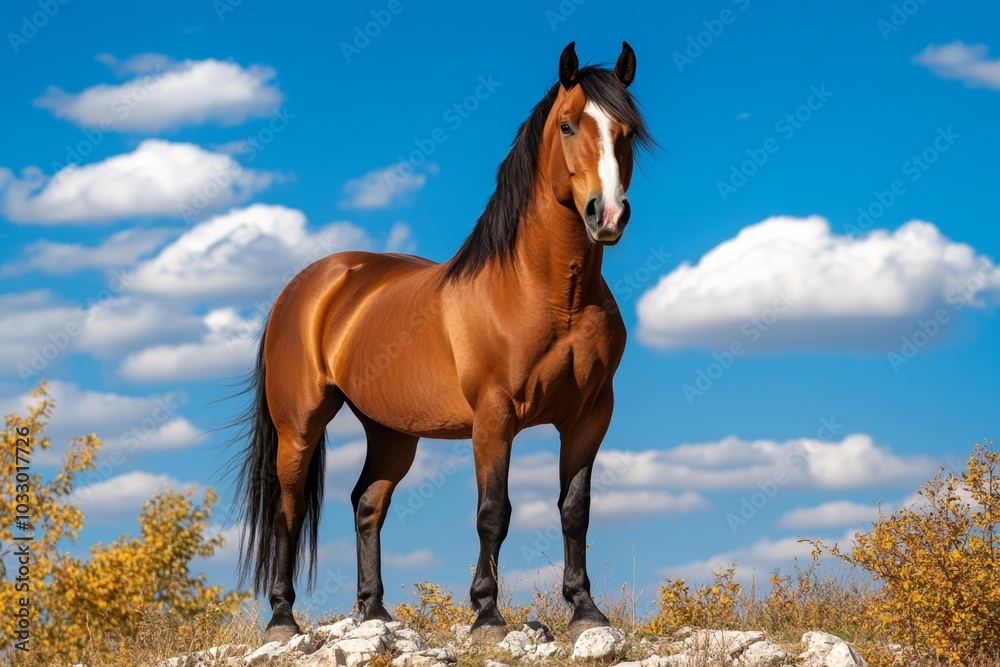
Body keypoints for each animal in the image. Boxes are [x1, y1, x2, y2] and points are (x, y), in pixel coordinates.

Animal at [233, 41, 653, 645]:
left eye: (628, 131)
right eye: (569, 125)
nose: (608, 214)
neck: (549, 293)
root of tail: (306, 286)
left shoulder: (590, 415)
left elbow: (575, 509)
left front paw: (584, 611)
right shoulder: (494, 417)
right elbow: (493, 512)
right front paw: (487, 616)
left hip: (391, 432)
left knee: (367, 504)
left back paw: (374, 612)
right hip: (299, 426)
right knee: (288, 510)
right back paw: (282, 620)